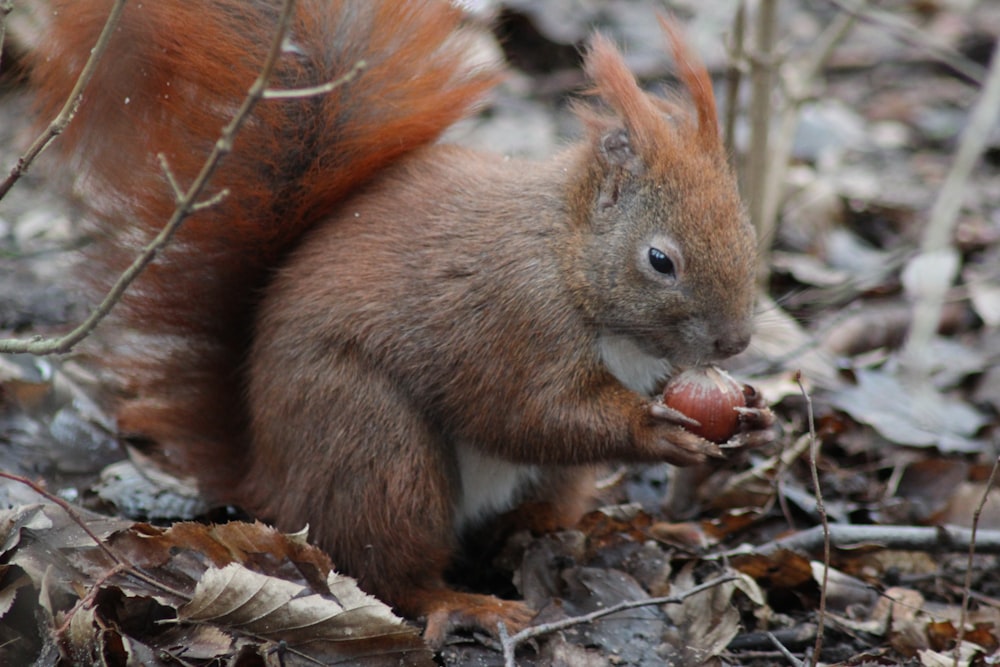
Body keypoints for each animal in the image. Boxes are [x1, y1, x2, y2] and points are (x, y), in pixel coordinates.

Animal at [27, 0, 768, 644]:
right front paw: (655, 429)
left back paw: (561, 529)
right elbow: (532, 412)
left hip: (501, 473)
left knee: (542, 503)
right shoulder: (514, 321)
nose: (736, 340)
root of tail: (266, 470)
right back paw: (461, 601)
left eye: (749, 230)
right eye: (659, 260)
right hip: (376, 447)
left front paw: (756, 415)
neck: (567, 255)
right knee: (391, 570)